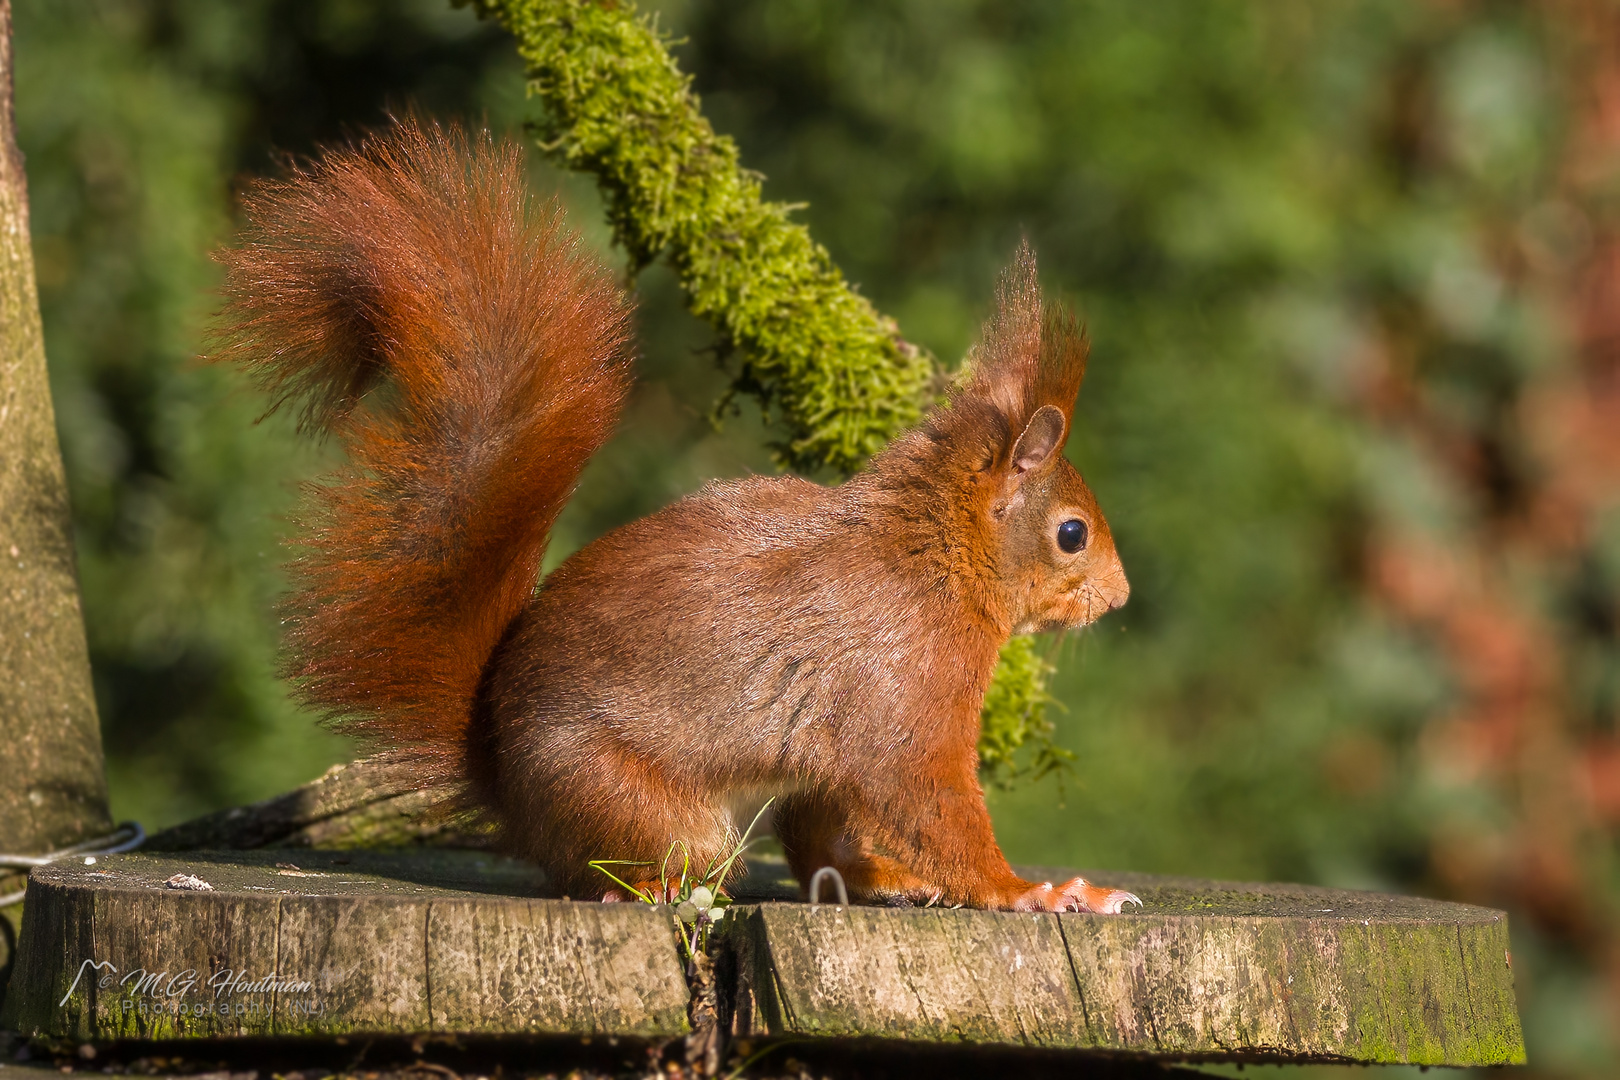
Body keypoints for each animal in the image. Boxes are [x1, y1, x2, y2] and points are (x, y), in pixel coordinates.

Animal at [218, 120, 1140, 913]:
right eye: (1071, 534)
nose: (1121, 597)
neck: (932, 557)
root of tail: (502, 781)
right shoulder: (904, 693)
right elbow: (932, 806)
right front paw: (1037, 891)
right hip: (642, 804)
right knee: (608, 871)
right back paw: (653, 887)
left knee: (813, 843)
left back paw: (877, 879)